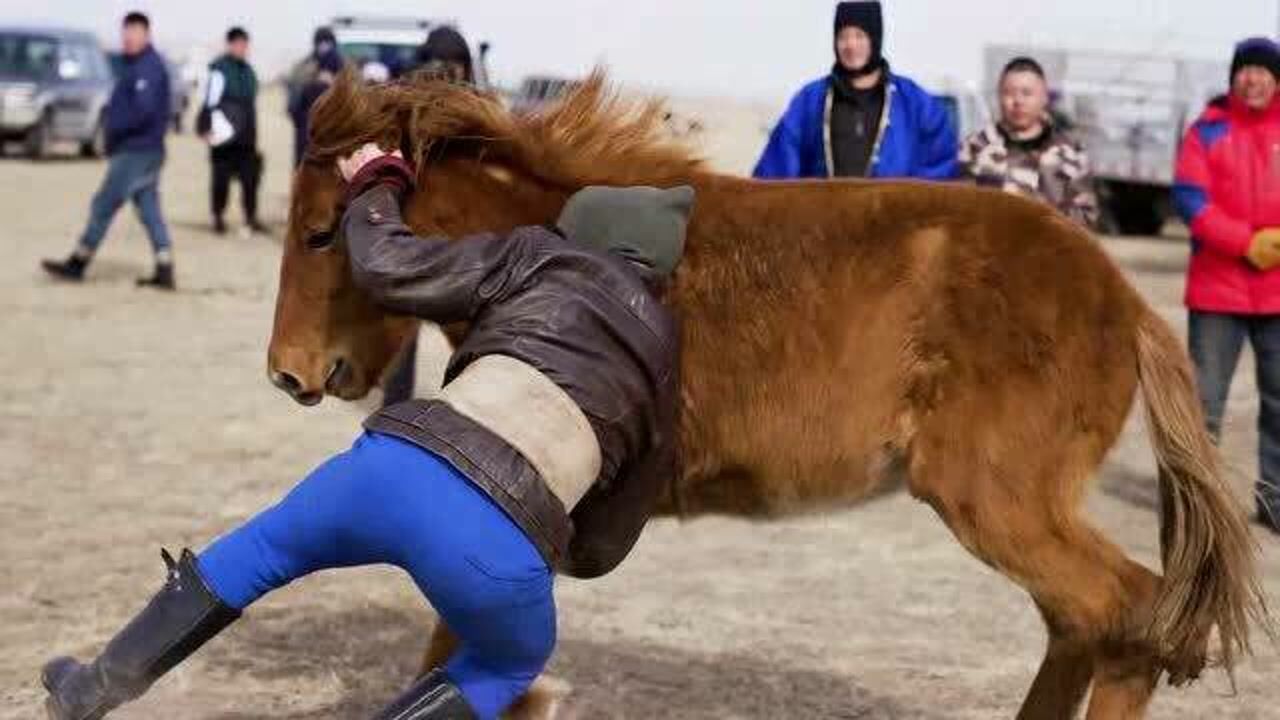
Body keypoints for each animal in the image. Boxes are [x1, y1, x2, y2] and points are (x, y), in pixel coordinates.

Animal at [267, 71, 1269, 717]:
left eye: (320, 233)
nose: (290, 372)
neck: (576, 239)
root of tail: (1124, 303)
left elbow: (453, 646)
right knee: (1082, 625)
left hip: (1000, 501)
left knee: (1125, 614)